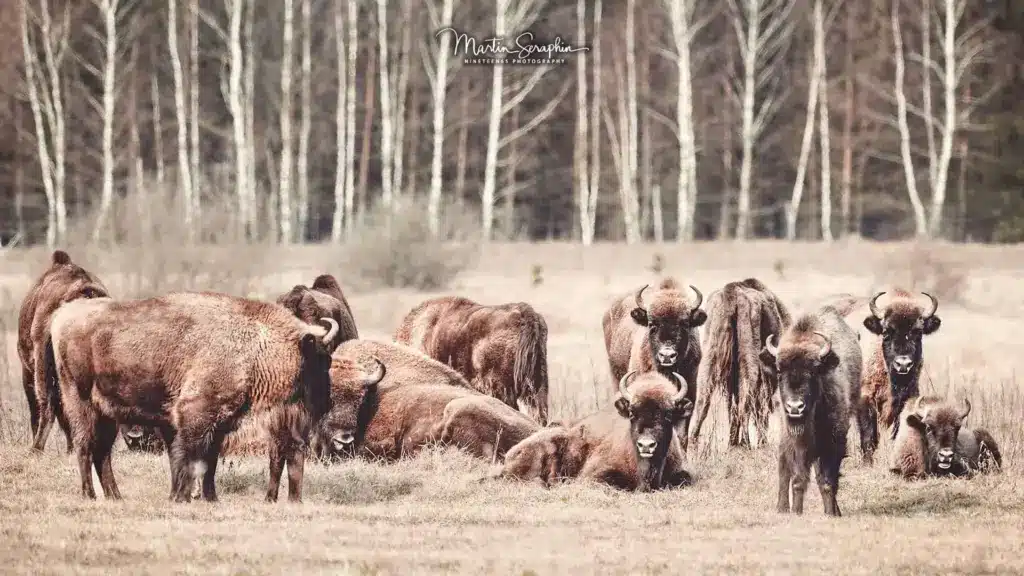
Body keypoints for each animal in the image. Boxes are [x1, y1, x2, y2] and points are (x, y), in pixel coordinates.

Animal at [47, 291, 337, 503]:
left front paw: (210, 498)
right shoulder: (195, 415)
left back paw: (115, 496)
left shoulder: (218, 425)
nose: (326, 401)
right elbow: (190, 458)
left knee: (102, 453)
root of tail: (62, 316)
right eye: (320, 361)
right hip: (81, 403)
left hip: (108, 414)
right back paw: (89, 495)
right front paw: (182, 496)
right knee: (85, 446)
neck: (256, 343)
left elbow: (209, 462)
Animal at [691, 278, 791, 449]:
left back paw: (693, 442)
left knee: (703, 400)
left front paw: (733, 441)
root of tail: (732, 291)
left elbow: (732, 406)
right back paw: (746, 443)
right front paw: (761, 442)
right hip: (750, 365)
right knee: (747, 401)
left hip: (709, 357)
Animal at [760, 306, 861, 517]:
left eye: (813, 371)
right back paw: (782, 508)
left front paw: (831, 513)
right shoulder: (797, 442)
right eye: (779, 371)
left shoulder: (835, 441)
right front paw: (797, 512)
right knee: (783, 468)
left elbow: (828, 481)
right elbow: (798, 479)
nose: (795, 407)